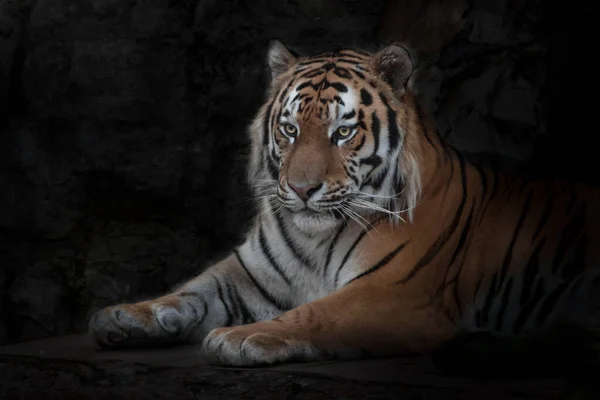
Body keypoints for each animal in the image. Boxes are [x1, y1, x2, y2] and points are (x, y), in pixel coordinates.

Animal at [86, 39, 600, 366]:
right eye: (289, 129)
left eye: (343, 131)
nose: (301, 189)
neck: (314, 238)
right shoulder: (246, 274)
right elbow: (190, 290)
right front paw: (126, 316)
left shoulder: (395, 292)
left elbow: (317, 313)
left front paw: (241, 337)